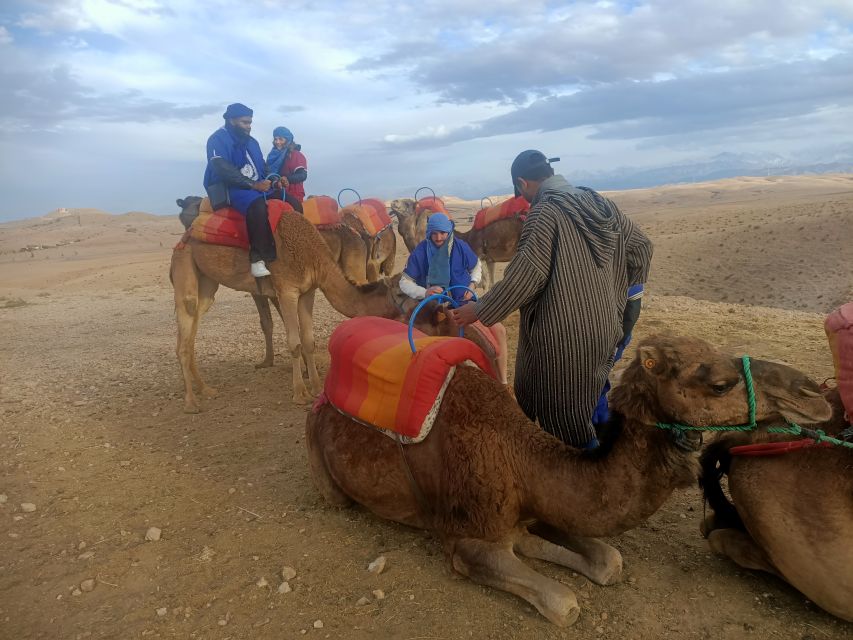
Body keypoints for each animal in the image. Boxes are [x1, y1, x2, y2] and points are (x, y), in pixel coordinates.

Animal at [171, 208, 404, 412]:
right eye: (401, 301)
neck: (314, 255)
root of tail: (185, 236)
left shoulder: (308, 292)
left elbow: (308, 341)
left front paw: (316, 387)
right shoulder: (287, 291)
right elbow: (295, 342)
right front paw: (300, 394)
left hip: (206, 283)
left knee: (192, 332)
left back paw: (206, 389)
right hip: (184, 264)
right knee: (185, 325)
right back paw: (191, 403)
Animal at [304, 336, 824, 624]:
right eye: (718, 383)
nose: (815, 393)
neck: (518, 457)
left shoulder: (537, 506)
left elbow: (607, 560)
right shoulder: (464, 539)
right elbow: (565, 603)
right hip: (321, 461)